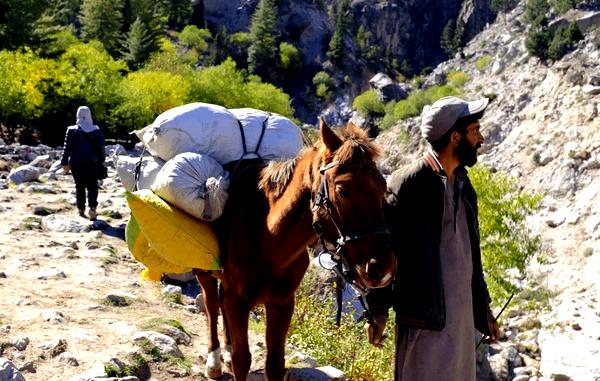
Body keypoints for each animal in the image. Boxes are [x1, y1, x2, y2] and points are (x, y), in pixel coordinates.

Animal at [195, 117, 396, 378]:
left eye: (382, 188)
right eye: (343, 190)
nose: (383, 267)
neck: (269, 239)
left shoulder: (282, 303)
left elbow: (274, 364)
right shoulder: (238, 301)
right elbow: (242, 360)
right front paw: (229, 358)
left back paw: (226, 352)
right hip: (203, 271)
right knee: (211, 303)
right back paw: (214, 360)